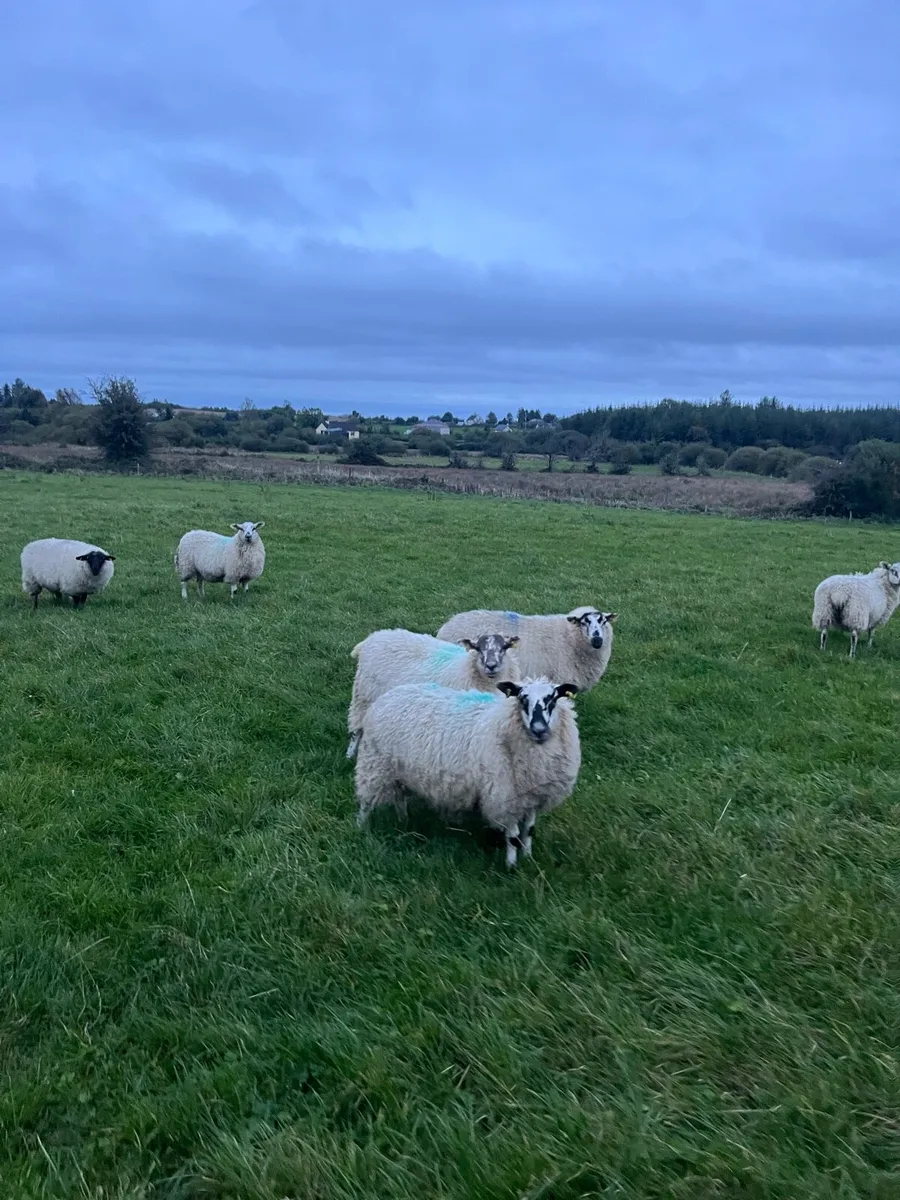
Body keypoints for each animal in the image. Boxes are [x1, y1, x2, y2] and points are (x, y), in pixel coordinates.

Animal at [346, 628, 520, 759]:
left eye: (505, 647)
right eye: (477, 648)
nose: (491, 666)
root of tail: (372, 638)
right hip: (363, 696)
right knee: (356, 729)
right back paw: (350, 754)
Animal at [355, 676, 581, 868]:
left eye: (553, 699)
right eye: (522, 699)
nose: (539, 729)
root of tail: (389, 695)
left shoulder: (533, 794)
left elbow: (529, 830)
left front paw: (528, 858)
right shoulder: (506, 796)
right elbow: (514, 836)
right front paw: (511, 866)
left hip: (399, 770)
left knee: (400, 797)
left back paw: (403, 821)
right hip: (374, 764)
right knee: (366, 801)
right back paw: (361, 829)